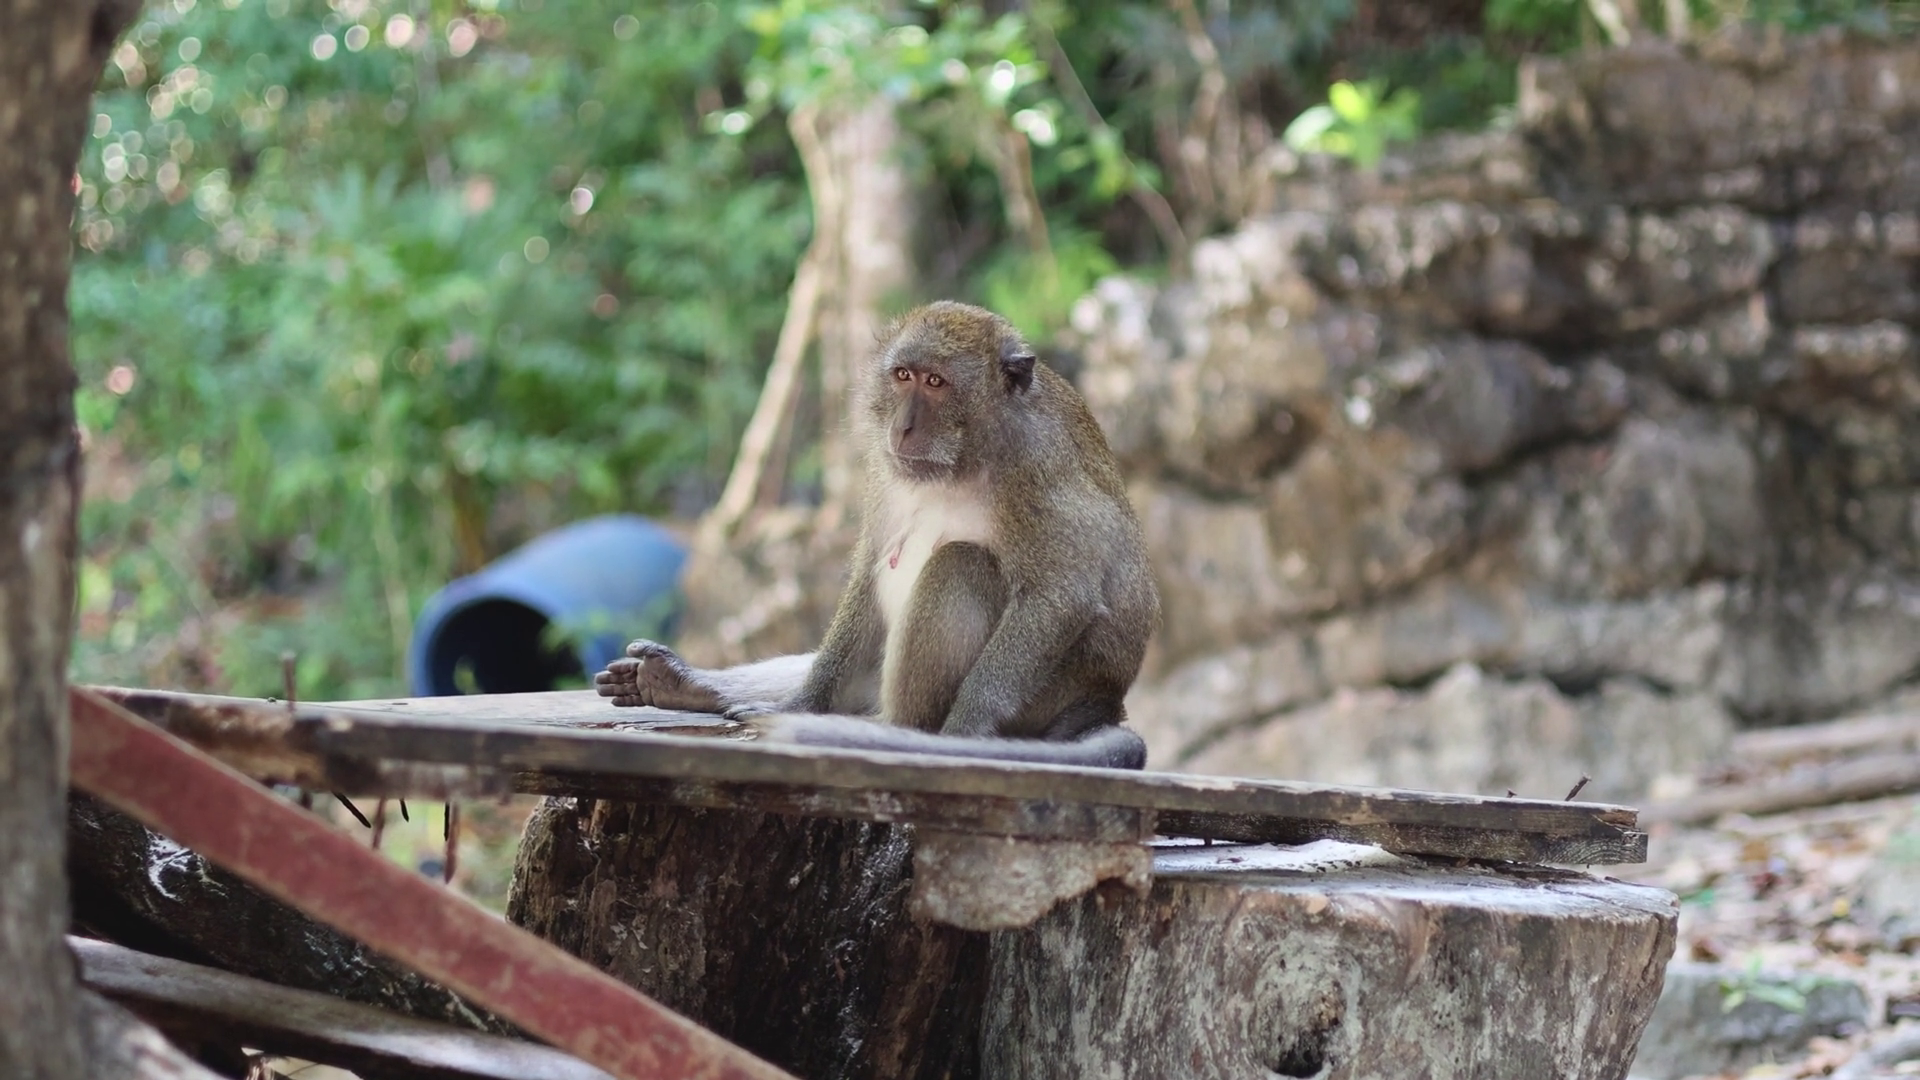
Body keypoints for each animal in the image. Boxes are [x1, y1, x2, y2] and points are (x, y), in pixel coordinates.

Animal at [595, 301, 1159, 770]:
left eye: (936, 382)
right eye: (903, 375)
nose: (903, 427)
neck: (966, 457)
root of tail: (1104, 703)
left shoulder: (1037, 466)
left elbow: (1059, 596)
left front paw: (966, 731)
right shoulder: (884, 472)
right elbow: (867, 576)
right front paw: (801, 704)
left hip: (1046, 698)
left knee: (962, 563)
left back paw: (897, 730)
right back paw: (683, 683)